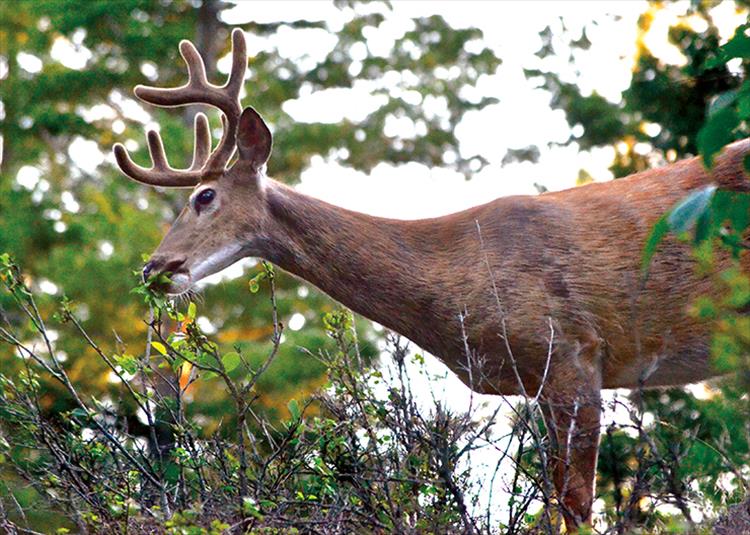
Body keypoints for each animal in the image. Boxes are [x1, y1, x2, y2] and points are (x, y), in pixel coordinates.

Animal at [111, 30, 750, 532]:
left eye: (204, 196)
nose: (153, 268)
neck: (455, 274)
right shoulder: (541, 378)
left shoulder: (573, 348)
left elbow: (575, 504)